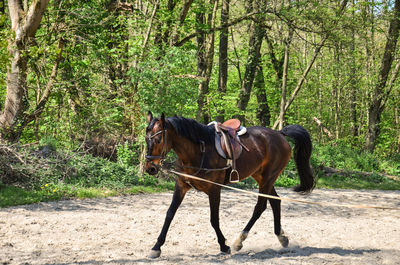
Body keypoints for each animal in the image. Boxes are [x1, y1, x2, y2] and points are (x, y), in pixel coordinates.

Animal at [145, 110, 316, 256]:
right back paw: (281, 237)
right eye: (146, 138)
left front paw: (223, 245)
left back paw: (239, 240)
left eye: (158, 139)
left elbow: (214, 219)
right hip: (262, 177)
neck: (198, 152)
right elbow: (169, 214)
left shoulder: (214, 190)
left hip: (268, 178)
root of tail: (279, 134)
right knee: (275, 201)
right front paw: (156, 247)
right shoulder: (181, 187)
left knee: (260, 207)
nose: (150, 168)